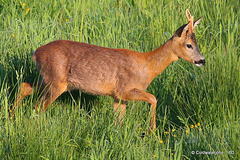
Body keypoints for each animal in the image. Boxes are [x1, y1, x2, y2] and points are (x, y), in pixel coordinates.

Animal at [12, 9, 204, 131]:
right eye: (189, 45)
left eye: (197, 44)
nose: (202, 60)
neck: (148, 67)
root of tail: (36, 53)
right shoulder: (125, 89)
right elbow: (153, 98)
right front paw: (152, 131)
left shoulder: (118, 96)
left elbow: (119, 121)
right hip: (55, 81)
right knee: (38, 107)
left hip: (48, 78)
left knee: (24, 86)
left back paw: (12, 116)